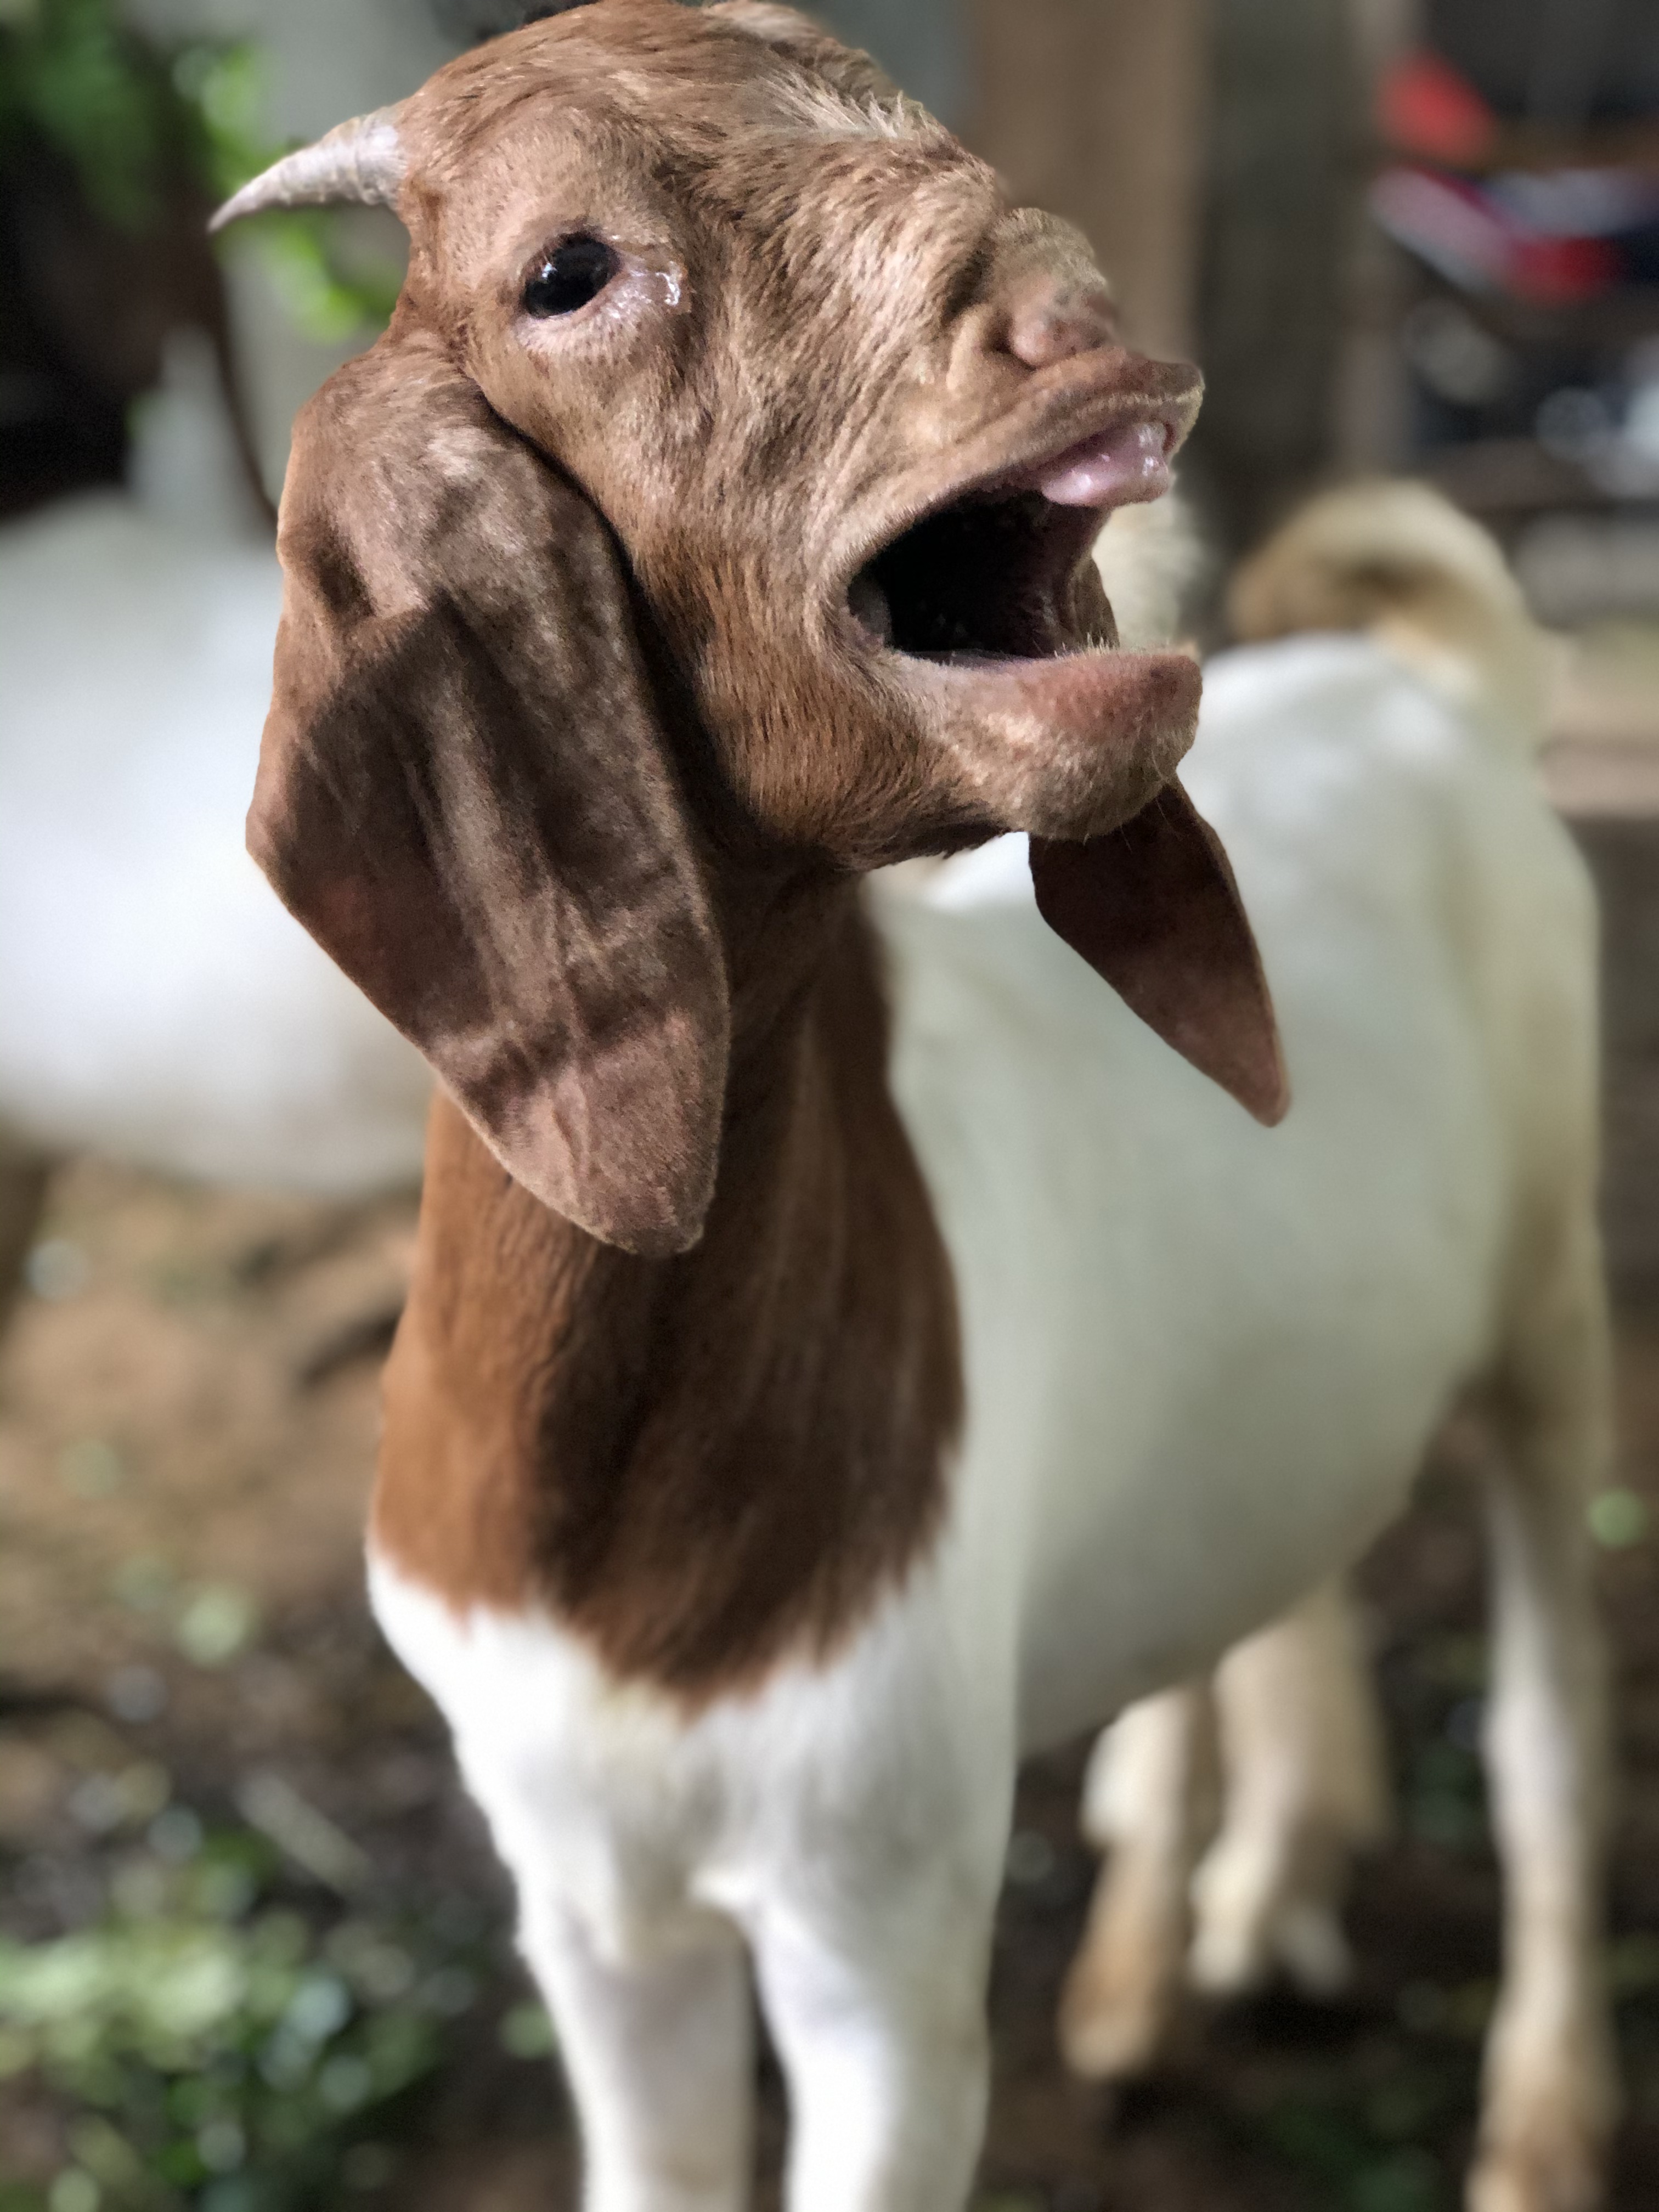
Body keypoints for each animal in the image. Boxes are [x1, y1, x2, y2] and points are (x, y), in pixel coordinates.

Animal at [215, 8, 1619, 2203]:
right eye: (561, 273)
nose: (1079, 321)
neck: (611, 1549)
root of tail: (1434, 688)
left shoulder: (874, 1916)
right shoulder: (585, 1901)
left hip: (1554, 1292)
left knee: (1551, 1731)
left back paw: (1532, 2117)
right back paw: (1192, 1928)